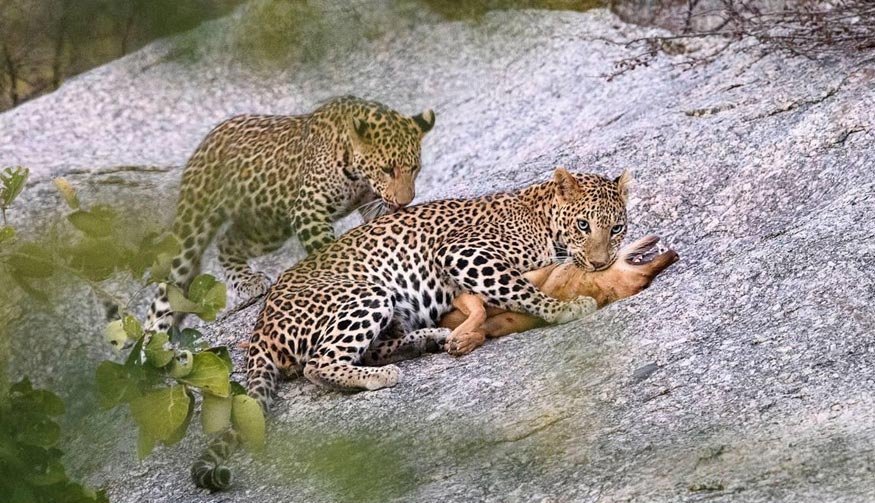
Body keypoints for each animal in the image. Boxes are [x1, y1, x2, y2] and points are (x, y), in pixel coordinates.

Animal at [145, 96, 436, 333]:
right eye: (388, 169)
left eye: (415, 169)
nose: (404, 201)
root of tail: (207, 138)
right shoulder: (309, 209)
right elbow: (328, 251)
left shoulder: (373, 204)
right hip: (195, 220)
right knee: (169, 284)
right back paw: (153, 339)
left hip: (268, 228)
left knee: (227, 243)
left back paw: (248, 282)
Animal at [191, 167, 630, 491]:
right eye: (583, 224)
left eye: (617, 228)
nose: (601, 264)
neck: (541, 216)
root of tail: (260, 326)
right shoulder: (463, 252)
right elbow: (520, 288)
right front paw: (564, 307)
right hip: (367, 292)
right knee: (319, 364)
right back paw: (383, 375)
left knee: (368, 348)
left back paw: (427, 340)